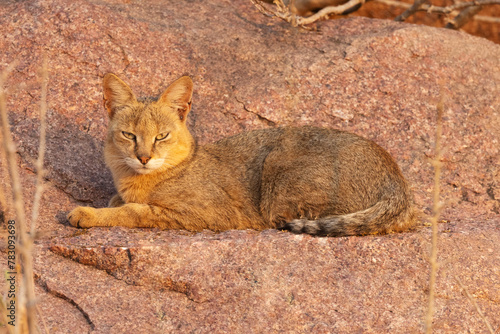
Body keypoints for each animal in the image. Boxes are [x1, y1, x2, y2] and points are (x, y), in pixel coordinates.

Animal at [67, 73, 418, 236]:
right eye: (129, 135)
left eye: (161, 136)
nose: (143, 157)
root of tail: (397, 179)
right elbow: (120, 201)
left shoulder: (203, 215)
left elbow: (134, 212)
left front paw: (87, 214)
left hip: (278, 178)